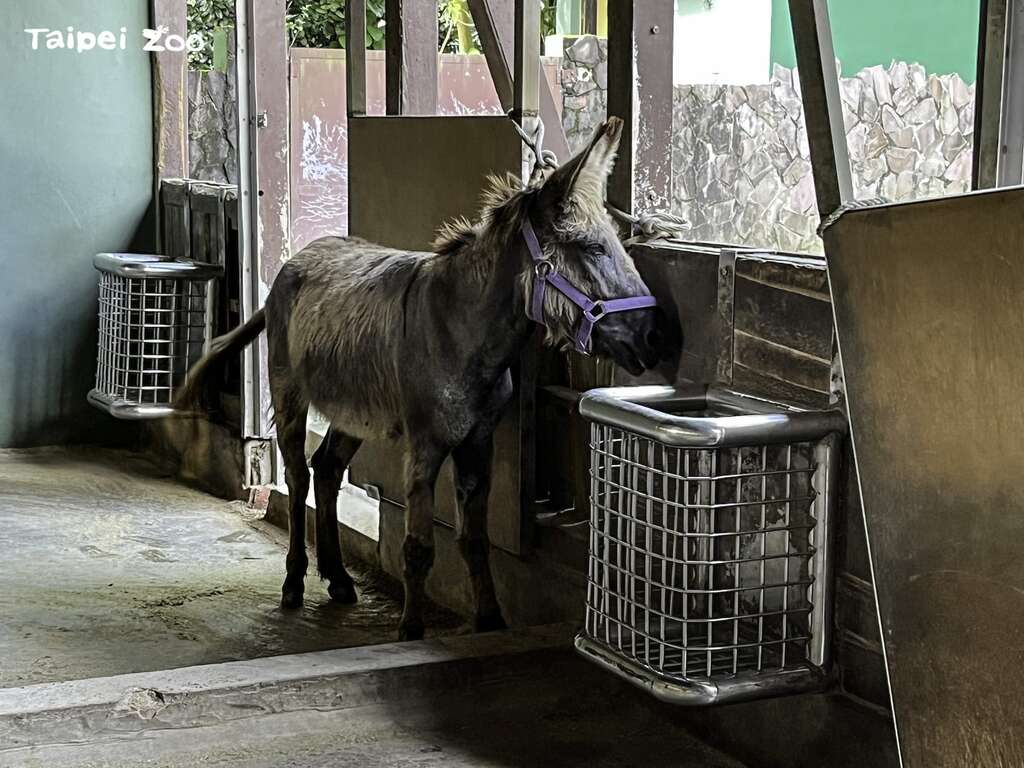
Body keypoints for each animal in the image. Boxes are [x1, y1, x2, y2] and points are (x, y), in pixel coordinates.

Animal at [177, 117, 672, 640]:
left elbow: (474, 540)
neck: (463, 329)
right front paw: (410, 632)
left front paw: (490, 620)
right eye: (592, 248)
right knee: (297, 476)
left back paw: (338, 579)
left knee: (327, 469)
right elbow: (418, 546)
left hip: (354, 411)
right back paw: (294, 584)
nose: (657, 335)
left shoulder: (478, 444)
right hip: (289, 393)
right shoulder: (425, 445)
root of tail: (301, 256)